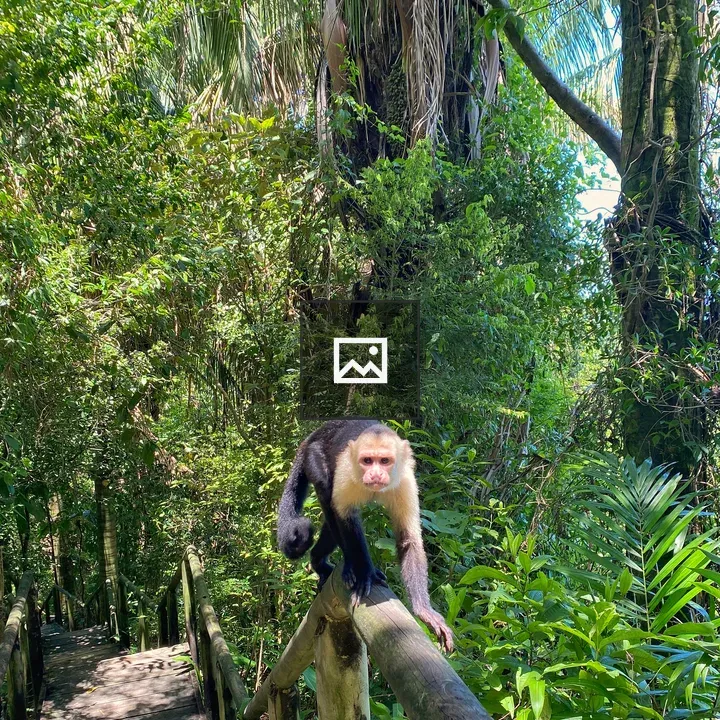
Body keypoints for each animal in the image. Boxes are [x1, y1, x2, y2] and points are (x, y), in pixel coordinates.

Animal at [277, 419, 454, 652]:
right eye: (367, 461)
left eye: (385, 461)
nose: (376, 474)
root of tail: (315, 433)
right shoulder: (346, 469)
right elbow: (345, 518)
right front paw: (365, 572)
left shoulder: (405, 480)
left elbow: (409, 539)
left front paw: (425, 611)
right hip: (313, 455)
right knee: (328, 497)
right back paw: (338, 564)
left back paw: (319, 561)